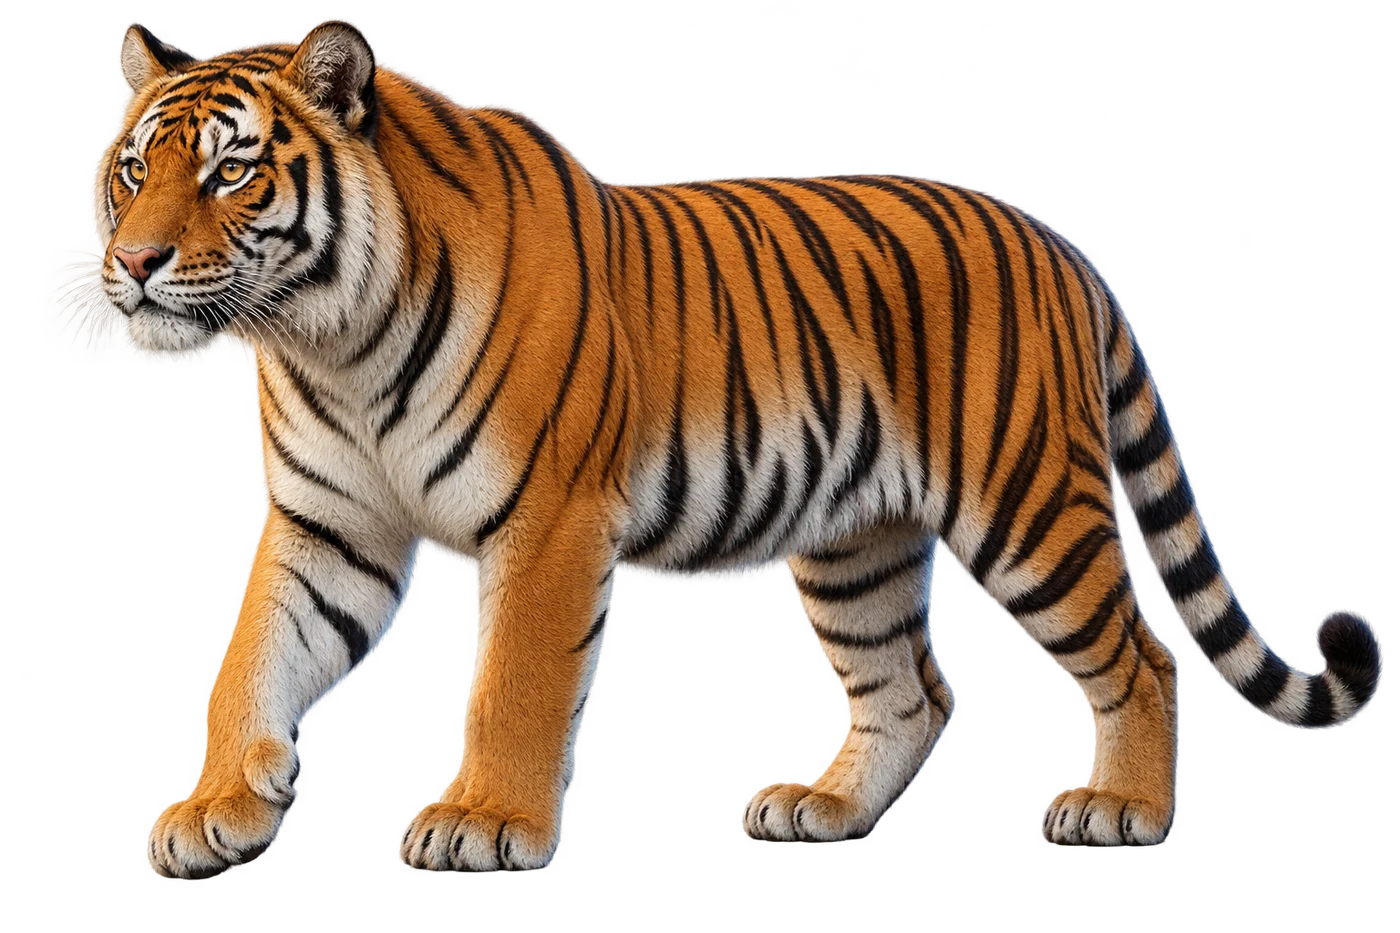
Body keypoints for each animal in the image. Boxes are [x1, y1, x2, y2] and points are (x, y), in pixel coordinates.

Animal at [51, 19, 1381, 878]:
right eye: (134, 169)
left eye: (231, 171)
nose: (135, 262)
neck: (328, 340)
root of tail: (1061, 246)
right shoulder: (329, 529)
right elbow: (250, 661)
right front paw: (216, 809)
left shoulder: (548, 522)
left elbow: (511, 685)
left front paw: (481, 823)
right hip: (855, 543)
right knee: (911, 688)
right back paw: (822, 810)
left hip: (1027, 512)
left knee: (1141, 658)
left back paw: (1119, 809)